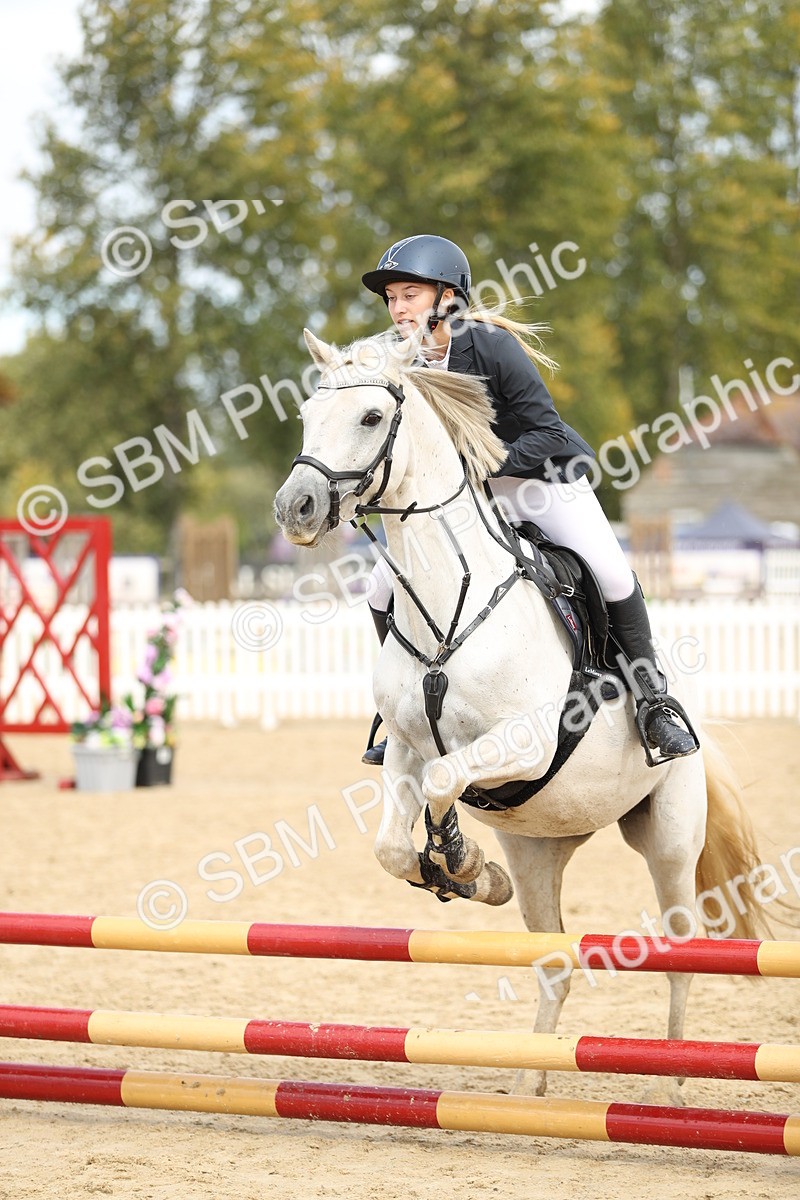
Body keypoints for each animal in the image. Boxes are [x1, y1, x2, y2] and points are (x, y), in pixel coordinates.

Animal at [274, 328, 764, 1098]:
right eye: (306, 415)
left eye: (371, 418)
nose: (294, 508)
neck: (450, 602)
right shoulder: (405, 750)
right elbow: (393, 842)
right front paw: (468, 873)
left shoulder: (523, 743)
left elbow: (447, 778)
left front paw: (458, 859)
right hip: (540, 846)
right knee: (556, 958)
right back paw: (532, 1082)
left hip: (669, 839)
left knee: (681, 951)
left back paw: (672, 1082)